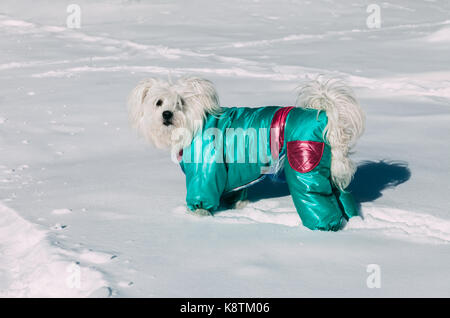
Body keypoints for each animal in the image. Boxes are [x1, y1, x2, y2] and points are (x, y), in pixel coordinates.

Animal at [127, 77, 366, 231]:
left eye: (181, 103)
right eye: (158, 102)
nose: (166, 114)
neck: (195, 123)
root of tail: (324, 116)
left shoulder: (205, 171)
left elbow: (202, 197)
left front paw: (198, 217)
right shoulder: (229, 177)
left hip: (304, 167)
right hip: (326, 170)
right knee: (341, 196)